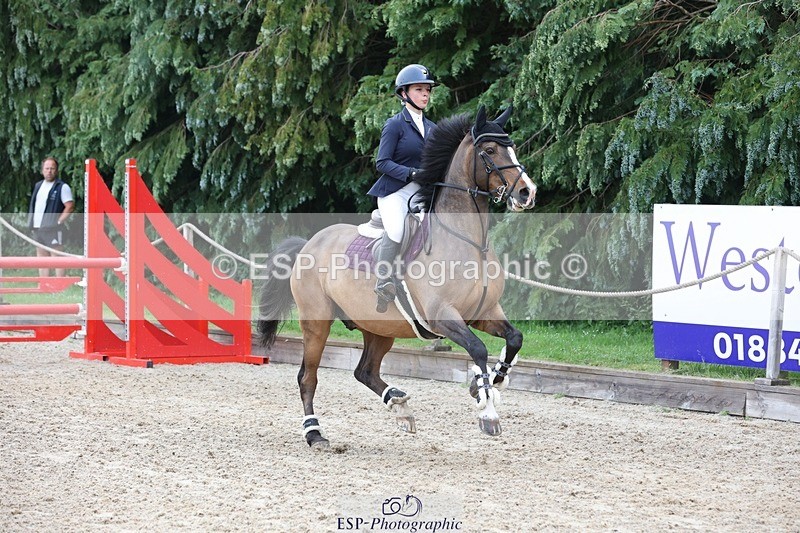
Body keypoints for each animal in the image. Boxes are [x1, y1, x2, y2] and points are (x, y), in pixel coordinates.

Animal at [258, 105, 537, 449]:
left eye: (513, 147)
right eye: (489, 150)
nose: (527, 192)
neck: (469, 241)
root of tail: (310, 243)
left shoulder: (484, 312)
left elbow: (514, 338)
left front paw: (491, 381)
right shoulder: (442, 316)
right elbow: (478, 348)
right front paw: (486, 409)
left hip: (378, 327)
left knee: (365, 371)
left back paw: (400, 406)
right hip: (316, 323)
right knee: (307, 377)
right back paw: (315, 434)